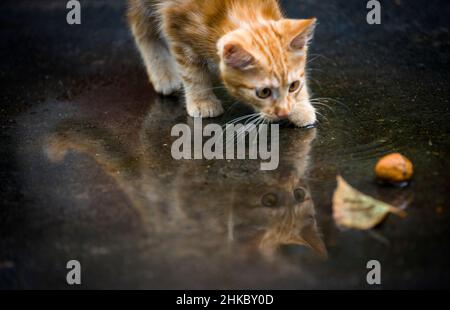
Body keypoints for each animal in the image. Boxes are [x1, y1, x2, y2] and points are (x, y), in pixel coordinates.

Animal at [126, 0, 316, 126]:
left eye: (293, 86)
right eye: (264, 92)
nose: (284, 112)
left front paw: (300, 107)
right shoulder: (176, 26)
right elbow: (192, 72)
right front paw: (202, 101)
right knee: (139, 23)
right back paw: (163, 75)